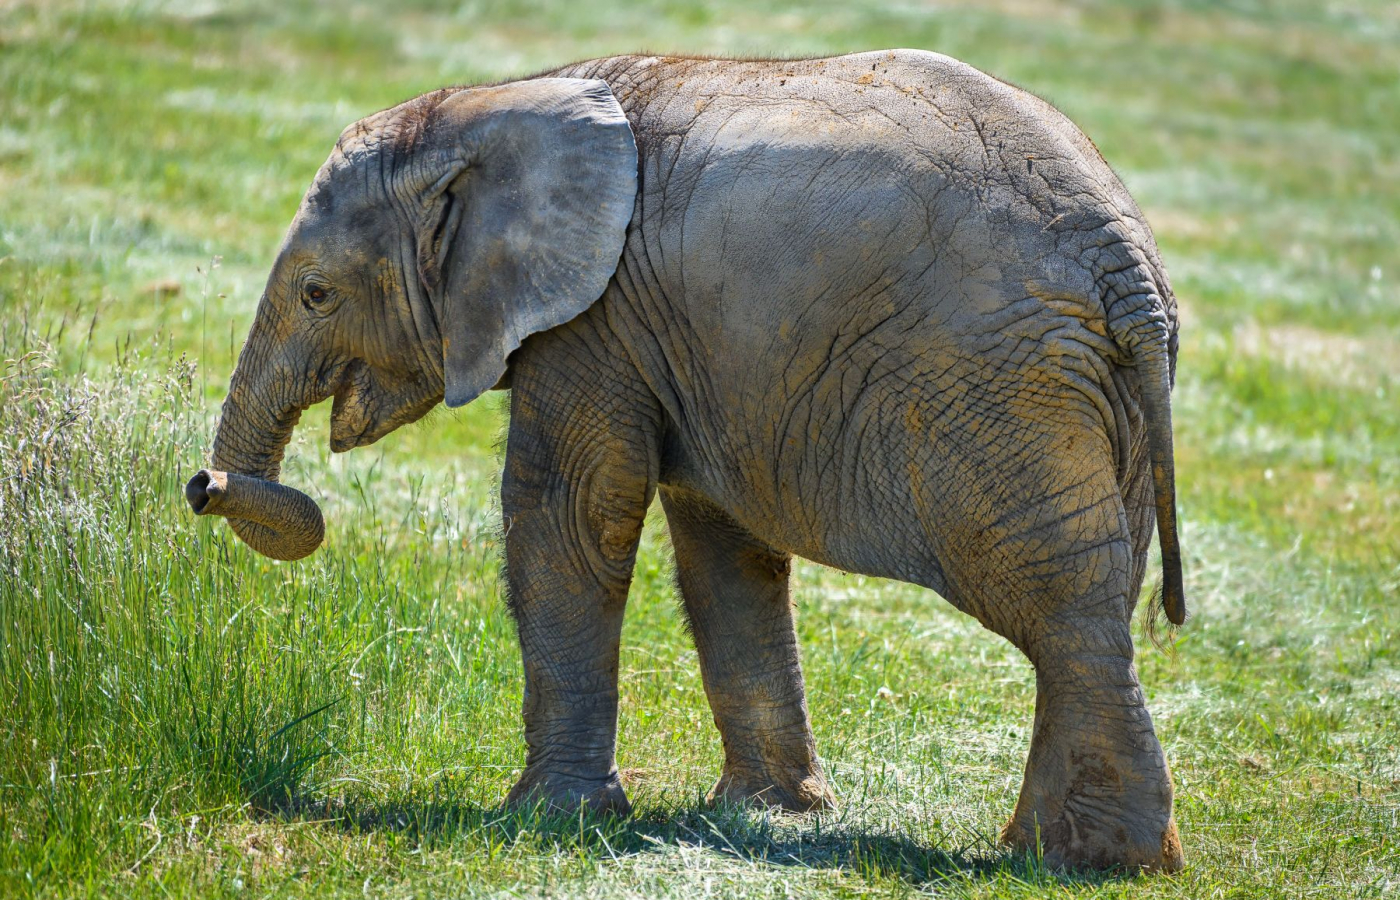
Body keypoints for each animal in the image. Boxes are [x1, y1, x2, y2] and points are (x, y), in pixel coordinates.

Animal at [183, 49, 1192, 873]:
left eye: (318, 294)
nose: (205, 486)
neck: (489, 104)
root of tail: (1125, 271)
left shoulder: (596, 320)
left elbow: (568, 516)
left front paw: (546, 820)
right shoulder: (701, 351)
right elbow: (725, 551)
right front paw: (769, 817)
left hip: (996, 390)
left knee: (1061, 606)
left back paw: (1090, 862)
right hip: (1103, 406)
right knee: (1094, 601)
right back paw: (1067, 855)